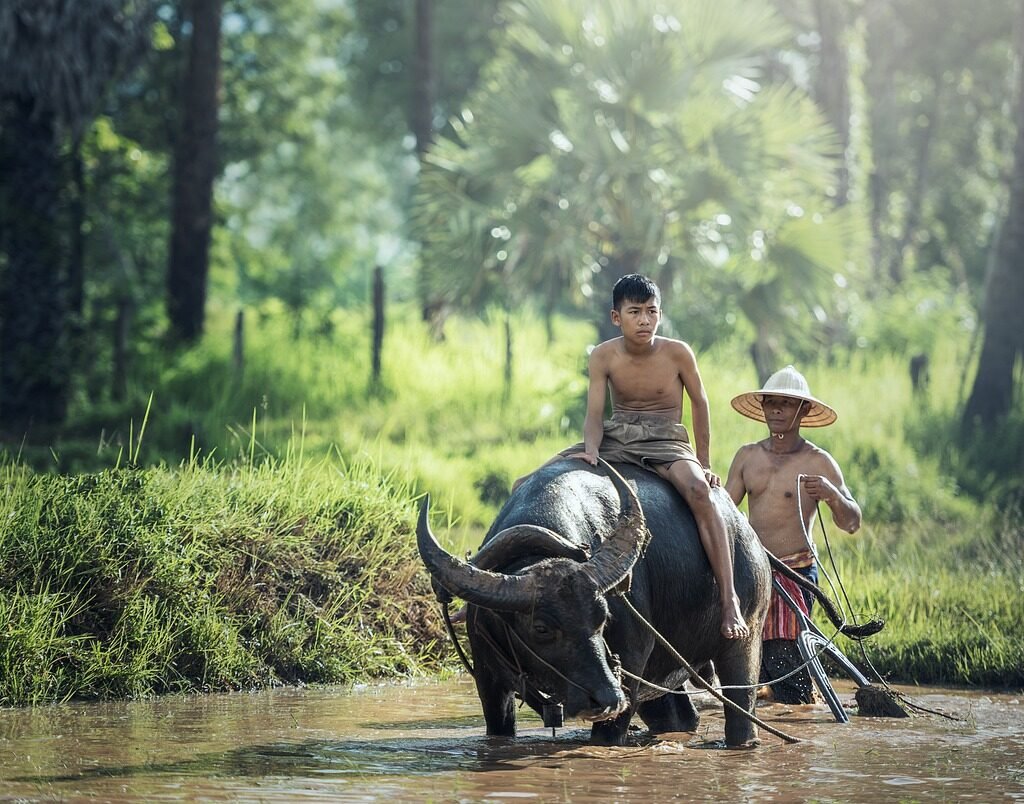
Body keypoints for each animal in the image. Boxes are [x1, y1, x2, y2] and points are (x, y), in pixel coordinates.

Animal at [415, 458, 770, 745]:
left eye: (603, 618)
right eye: (541, 628)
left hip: (746, 638)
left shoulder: (629, 671)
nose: (607, 698)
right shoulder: (489, 681)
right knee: (679, 716)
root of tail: (747, 533)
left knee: (741, 708)